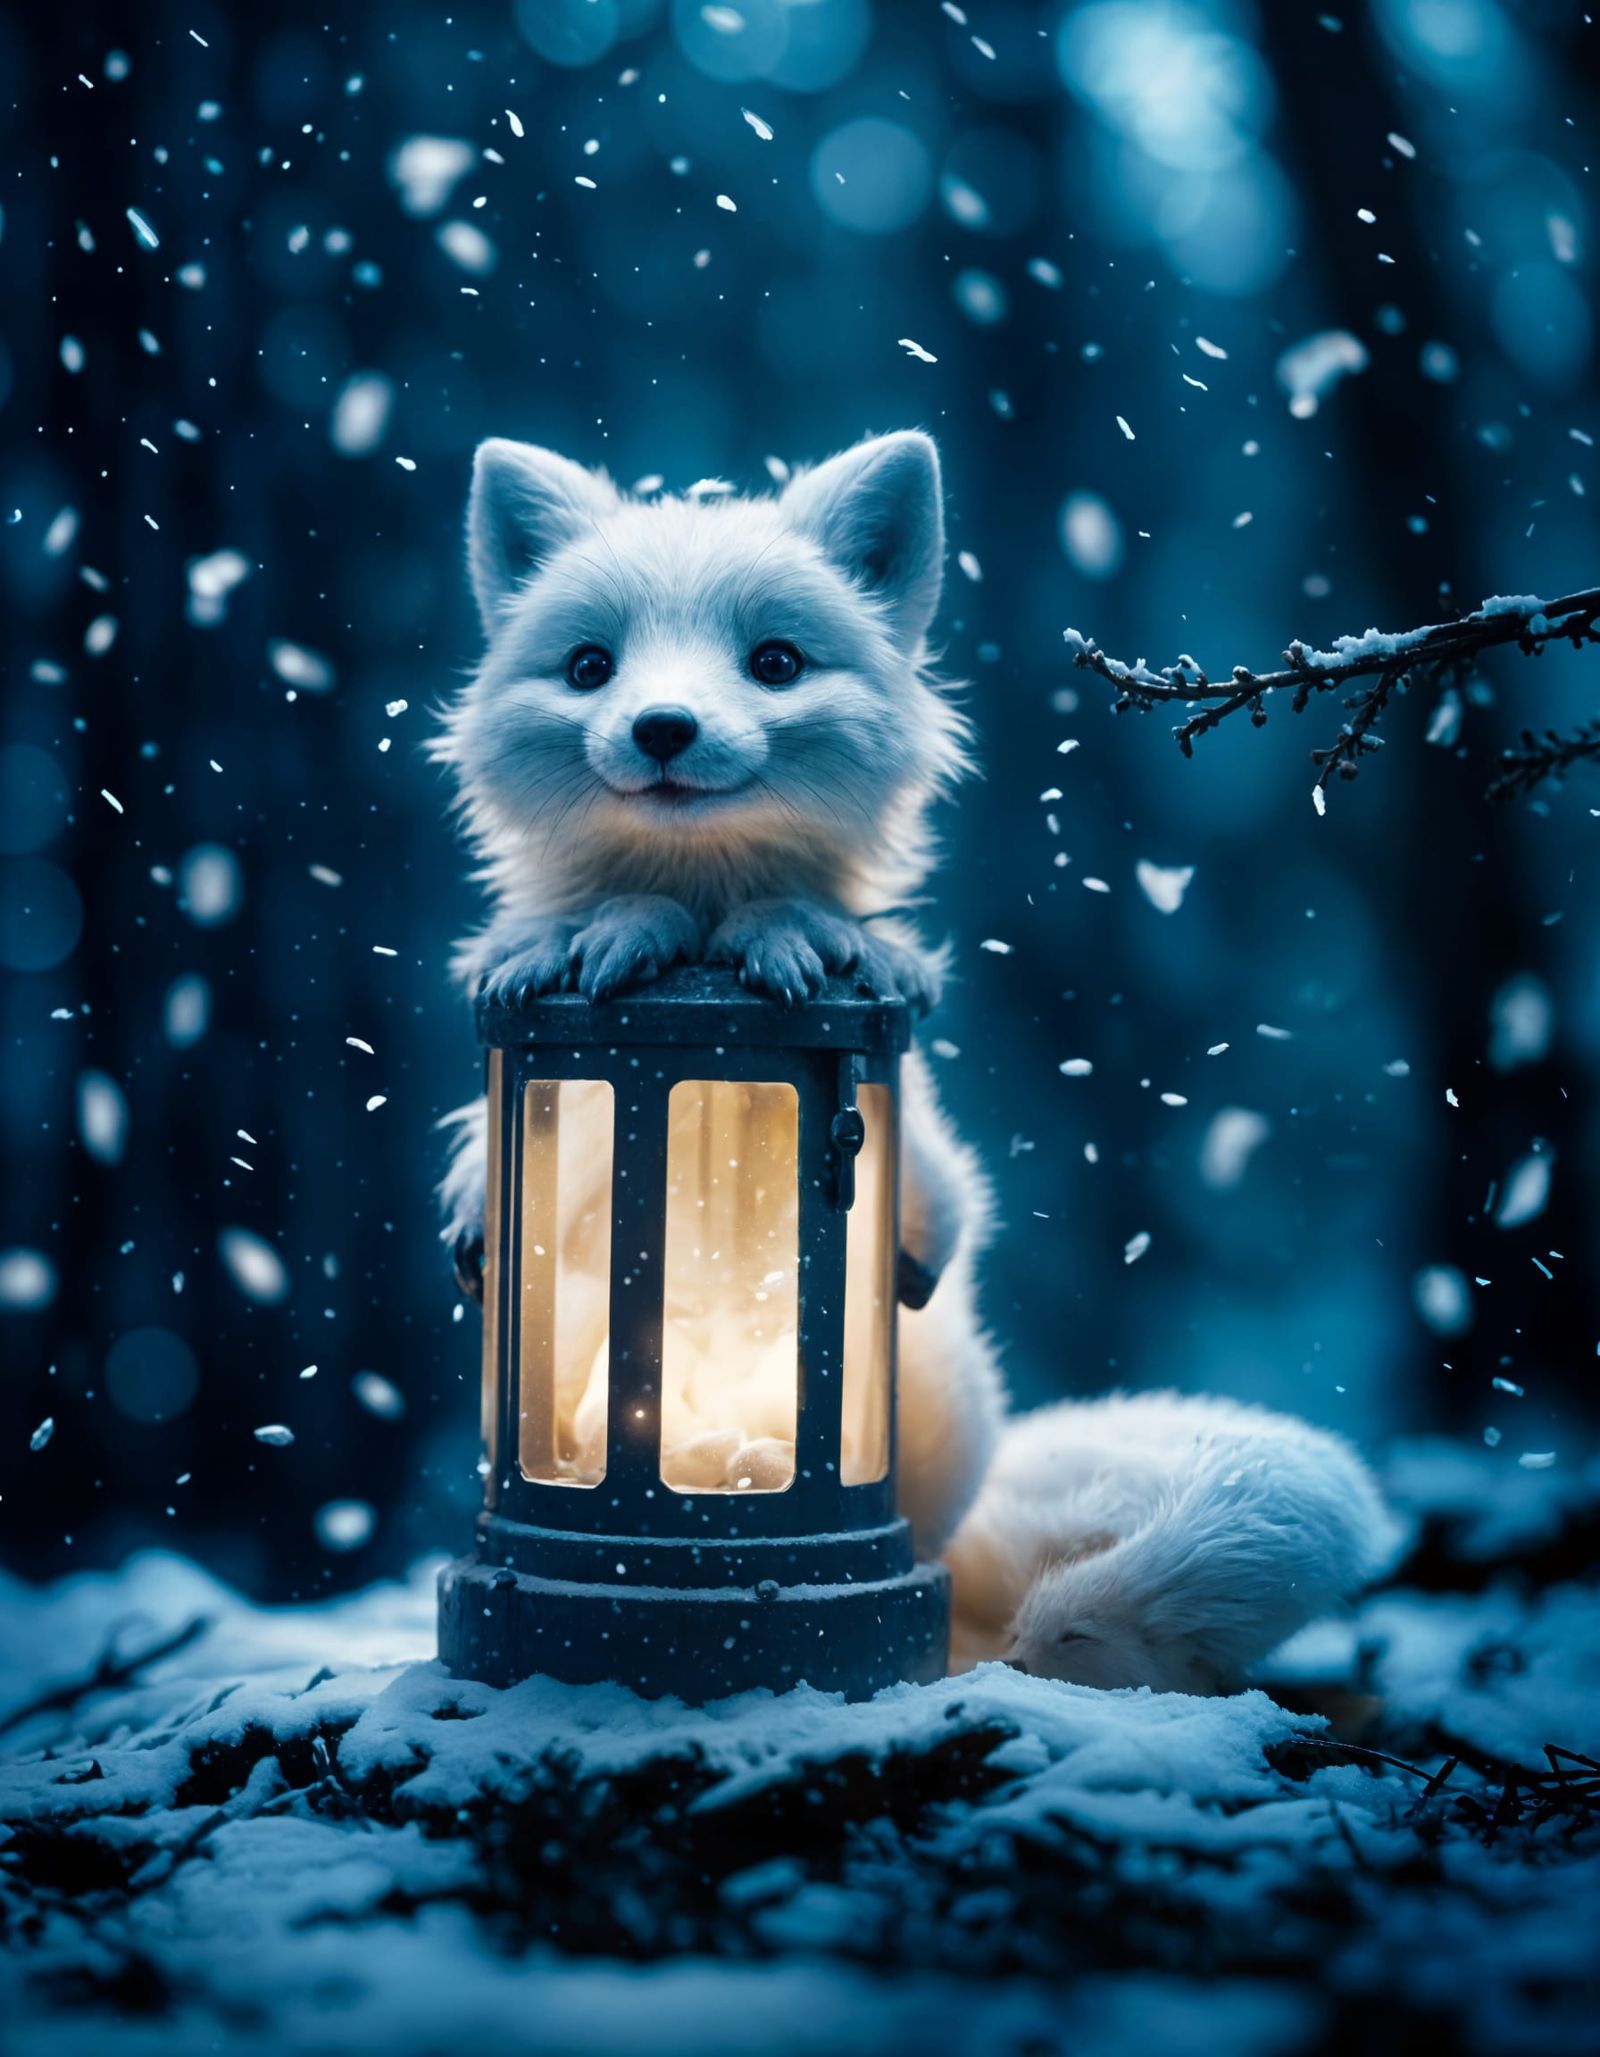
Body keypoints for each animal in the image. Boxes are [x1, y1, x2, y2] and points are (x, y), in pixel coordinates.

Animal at [435, 429, 1395, 1691]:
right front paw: (599, 935)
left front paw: (790, 933)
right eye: (590, 666)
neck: (706, 911)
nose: (662, 727)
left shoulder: (904, 1101)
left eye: (775, 661)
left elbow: (927, 1152)